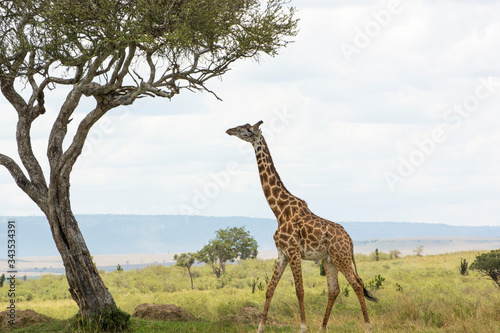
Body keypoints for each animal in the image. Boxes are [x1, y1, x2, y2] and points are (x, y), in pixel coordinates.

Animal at [226, 120, 376, 330]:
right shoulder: (282, 252)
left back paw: (367, 326)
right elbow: (270, 289)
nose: (229, 130)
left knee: (357, 284)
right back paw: (322, 328)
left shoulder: (293, 250)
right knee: (334, 289)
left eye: (247, 129)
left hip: (341, 256)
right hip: (330, 260)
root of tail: (350, 240)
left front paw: (303, 327)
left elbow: (299, 290)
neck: (279, 210)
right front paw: (260, 327)